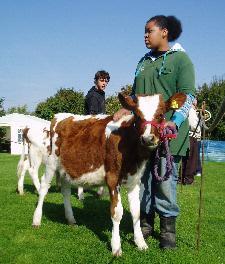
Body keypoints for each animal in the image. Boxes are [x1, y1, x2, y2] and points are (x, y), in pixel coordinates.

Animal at [32, 93, 186, 256]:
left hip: (67, 168)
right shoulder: (112, 179)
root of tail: (60, 116)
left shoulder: (135, 180)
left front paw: (140, 243)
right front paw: (116, 246)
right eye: (137, 116)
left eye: (161, 114)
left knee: (66, 191)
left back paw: (71, 219)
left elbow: (136, 212)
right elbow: (117, 213)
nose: (148, 138)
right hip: (51, 163)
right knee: (43, 188)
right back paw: (36, 220)